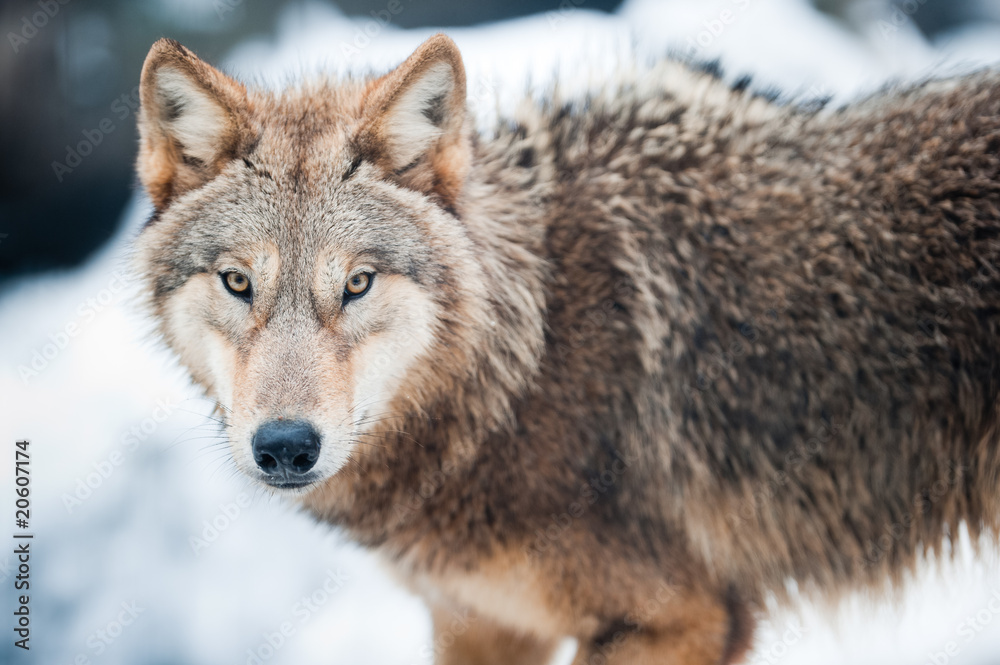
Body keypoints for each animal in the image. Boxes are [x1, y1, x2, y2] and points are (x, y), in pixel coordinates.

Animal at [132, 33, 1000, 664]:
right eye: (238, 282)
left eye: (357, 283)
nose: (285, 446)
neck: (527, 359)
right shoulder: (478, 621)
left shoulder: (683, 616)